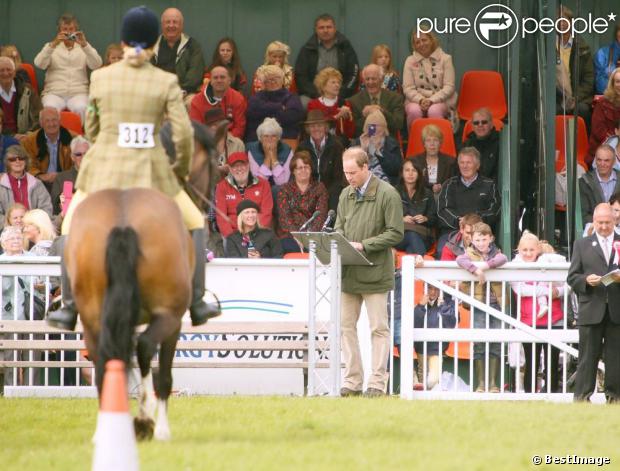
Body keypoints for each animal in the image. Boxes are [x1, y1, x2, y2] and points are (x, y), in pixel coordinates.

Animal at [69, 123, 219, 440]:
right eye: (214, 165)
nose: (207, 214)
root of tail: (124, 219)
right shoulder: (173, 321)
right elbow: (162, 372)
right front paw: (157, 423)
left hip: (92, 316)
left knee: (105, 361)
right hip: (168, 314)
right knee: (145, 347)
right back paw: (148, 422)